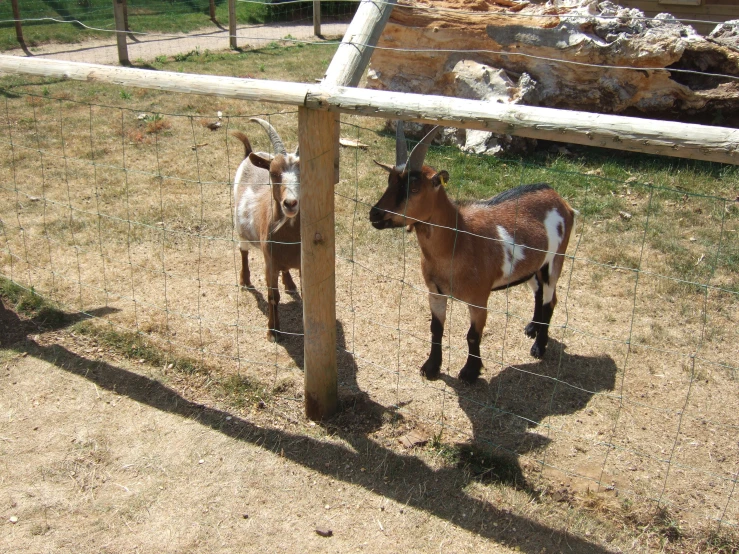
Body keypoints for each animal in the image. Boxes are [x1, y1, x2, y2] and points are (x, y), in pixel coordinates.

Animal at [233, 118, 300, 338]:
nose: (290, 203)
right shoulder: (269, 262)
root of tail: (250, 153)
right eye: (273, 173)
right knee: (243, 250)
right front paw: (273, 330)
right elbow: (273, 296)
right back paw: (245, 280)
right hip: (240, 229)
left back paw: (290, 283)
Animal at [370, 122, 580, 382]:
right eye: (389, 181)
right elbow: (436, 329)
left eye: (415, 187)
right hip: (533, 265)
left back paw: (539, 348)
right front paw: (431, 367)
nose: (375, 214)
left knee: (551, 299)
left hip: (555, 261)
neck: (459, 239)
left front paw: (470, 372)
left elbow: (472, 334)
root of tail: (561, 200)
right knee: (539, 292)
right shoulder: (435, 291)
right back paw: (532, 328)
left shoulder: (479, 299)